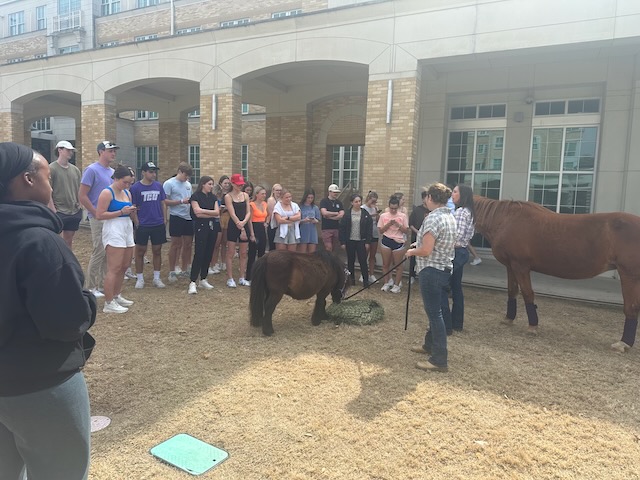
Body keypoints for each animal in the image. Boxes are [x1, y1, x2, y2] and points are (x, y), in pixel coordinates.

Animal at [472, 196, 640, 352]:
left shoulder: (521, 266)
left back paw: (623, 343)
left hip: (629, 275)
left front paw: (532, 326)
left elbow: (527, 294)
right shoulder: (510, 266)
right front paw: (508, 319)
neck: (506, 220)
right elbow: (512, 291)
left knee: (631, 307)